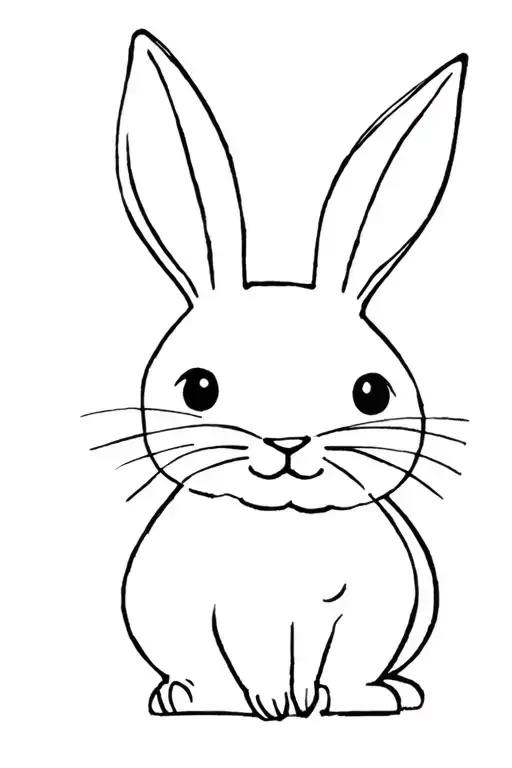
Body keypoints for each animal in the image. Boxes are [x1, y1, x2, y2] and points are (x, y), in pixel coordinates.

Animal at [110, 30, 467, 718]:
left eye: (371, 394)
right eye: (199, 389)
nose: (286, 442)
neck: (284, 529)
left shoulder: (369, 613)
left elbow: (351, 660)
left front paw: (346, 700)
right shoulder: (207, 609)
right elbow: (227, 656)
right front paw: (250, 703)